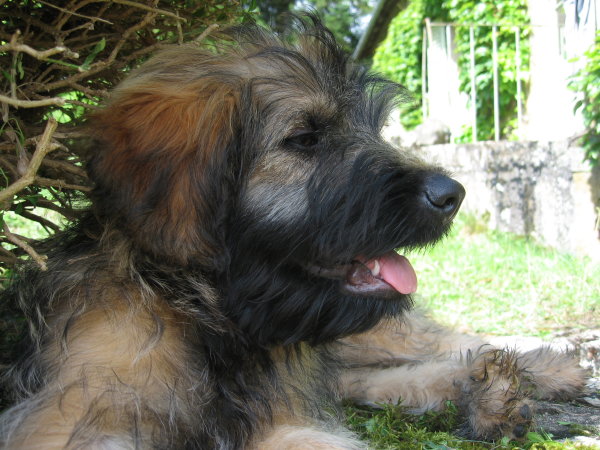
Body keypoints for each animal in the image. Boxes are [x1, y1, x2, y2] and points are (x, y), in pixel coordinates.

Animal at [0, 14, 584, 450]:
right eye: (304, 138)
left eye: (372, 128)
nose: (451, 195)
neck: (209, 318)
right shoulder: (67, 417)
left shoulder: (279, 418)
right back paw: (491, 392)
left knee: (436, 341)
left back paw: (542, 367)